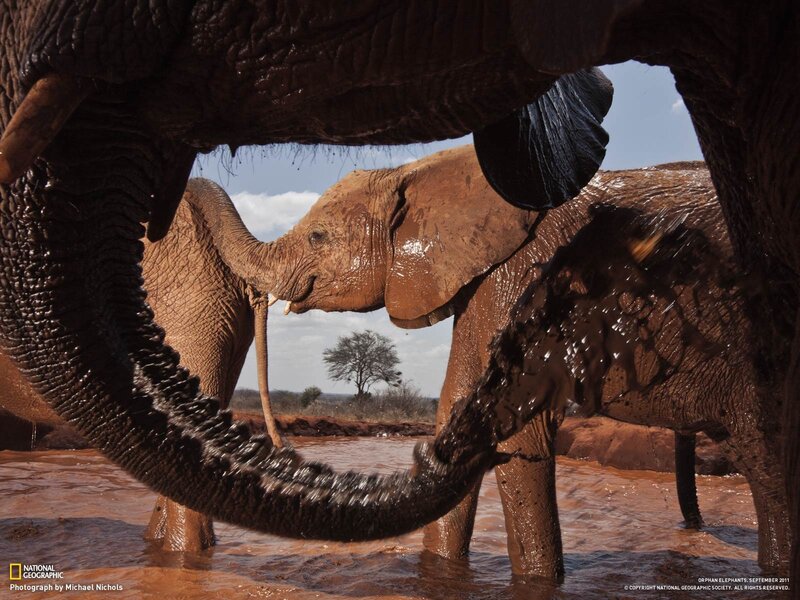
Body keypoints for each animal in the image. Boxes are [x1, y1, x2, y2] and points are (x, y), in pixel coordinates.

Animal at [192, 144, 788, 579]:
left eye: (318, 236)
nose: (194, 182)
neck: (420, 170)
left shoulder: (522, 275)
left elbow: (515, 431)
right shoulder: (485, 284)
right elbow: (457, 412)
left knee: (767, 462)